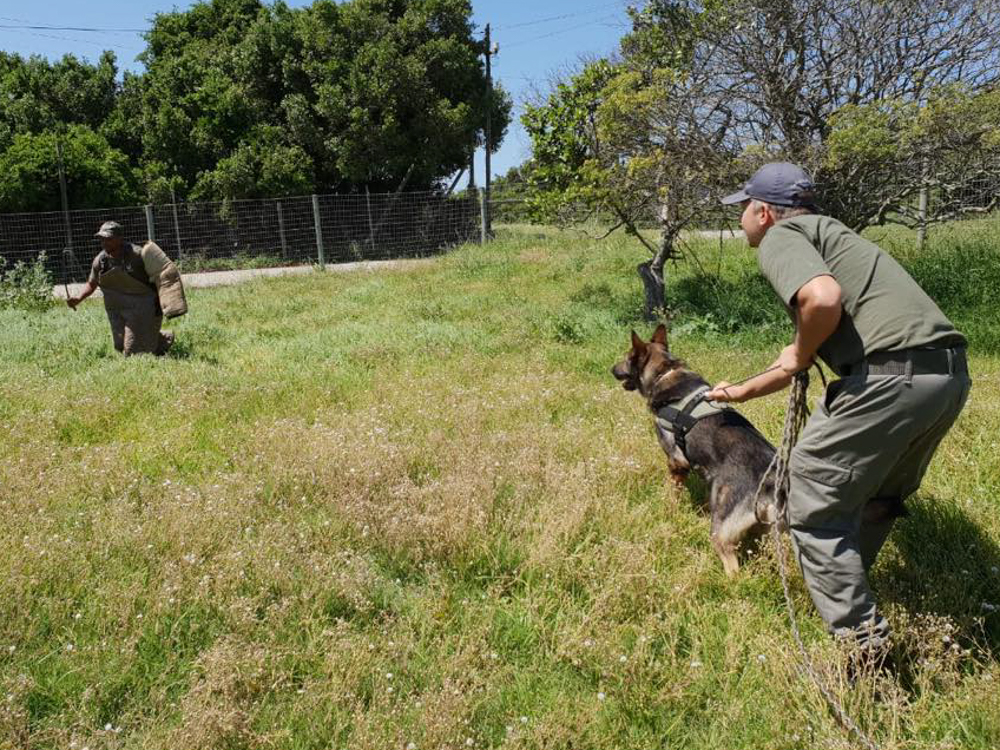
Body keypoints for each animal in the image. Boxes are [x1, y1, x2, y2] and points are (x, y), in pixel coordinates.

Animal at [608, 324, 780, 576]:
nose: (611, 369)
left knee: (732, 567)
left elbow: (673, 493)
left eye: (626, 357)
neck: (664, 373)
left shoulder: (676, 462)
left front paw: (670, 509)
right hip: (767, 534)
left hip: (720, 531)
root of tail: (769, 479)